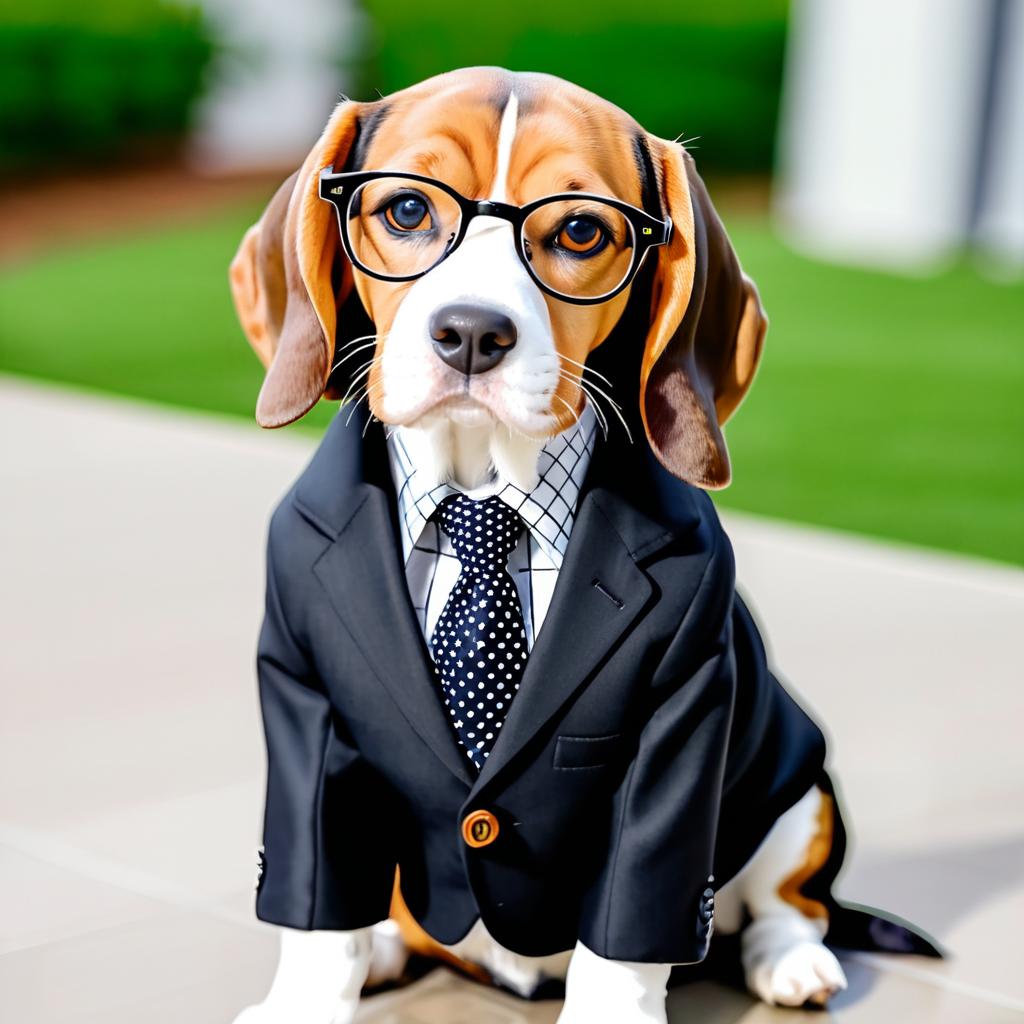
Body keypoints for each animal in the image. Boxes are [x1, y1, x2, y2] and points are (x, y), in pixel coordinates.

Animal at [228, 68, 937, 1019]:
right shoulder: (306, 707)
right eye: (408, 210)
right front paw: (308, 998)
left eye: (579, 230)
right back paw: (388, 945)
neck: (480, 491)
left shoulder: (681, 724)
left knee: (785, 904)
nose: (471, 333)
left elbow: (627, 934)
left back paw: (791, 963)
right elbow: (318, 915)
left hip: (798, 785)